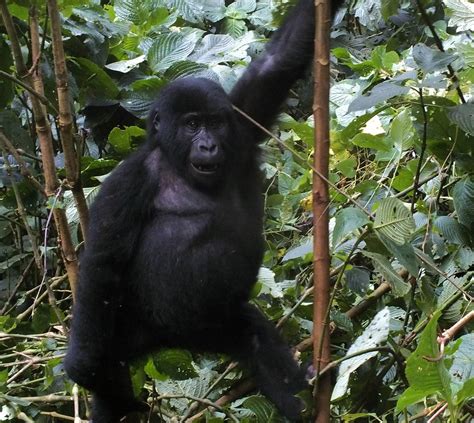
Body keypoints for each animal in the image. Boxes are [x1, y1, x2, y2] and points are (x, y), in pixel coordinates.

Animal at [65, 1, 342, 422]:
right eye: (192, 125)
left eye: (213, 123)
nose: (208, 146)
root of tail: (168, 339)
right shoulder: (127, 182)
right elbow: (101, 263)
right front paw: (85, 368)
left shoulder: (240, 126)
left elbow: (277, 62)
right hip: (125, 325)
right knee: (106, 352)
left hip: (212, 325)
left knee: (251, 335)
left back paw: (303, 396)